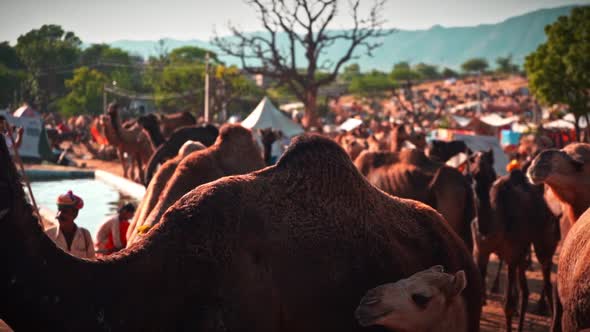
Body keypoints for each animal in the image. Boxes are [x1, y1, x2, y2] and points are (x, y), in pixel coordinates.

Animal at [474, 170, 560, 330]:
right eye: (473, 175)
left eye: (491, 173)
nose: (479, 180)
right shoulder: (481, 252)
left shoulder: (511, 256)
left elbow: (508, 305)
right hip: (523, 251)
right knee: (525, 291)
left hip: (543, 242)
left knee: (547, 282)